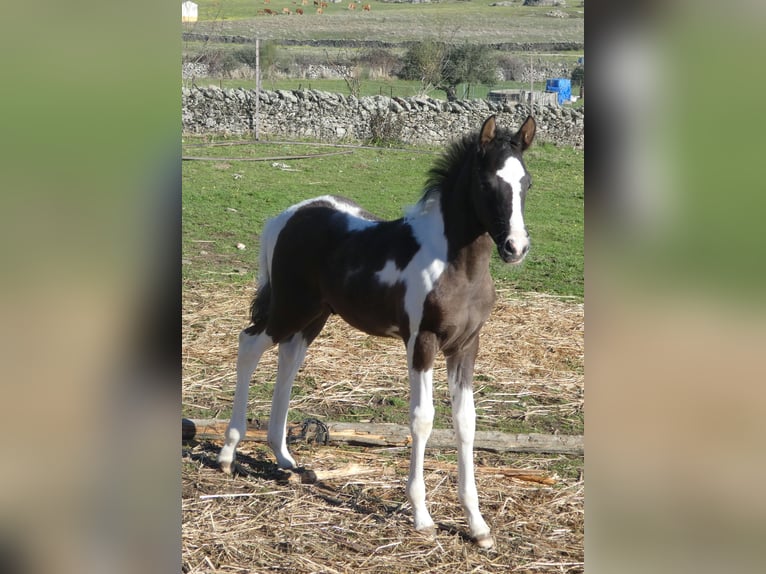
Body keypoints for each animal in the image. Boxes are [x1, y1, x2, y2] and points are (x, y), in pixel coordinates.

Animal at [218, 115, 537, 548]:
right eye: (488, 183)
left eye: (526, 183)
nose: (515, 248)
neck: (457, 265)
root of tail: (289, 216)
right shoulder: (422, 341)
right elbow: (423, 419)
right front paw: (421, 516)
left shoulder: (466, 345)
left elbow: (466, 421)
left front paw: (477, 525)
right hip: (289, 307)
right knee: (249, 344)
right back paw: (228, 454)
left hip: (314, 315)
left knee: (289, 358)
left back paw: (284, 457)